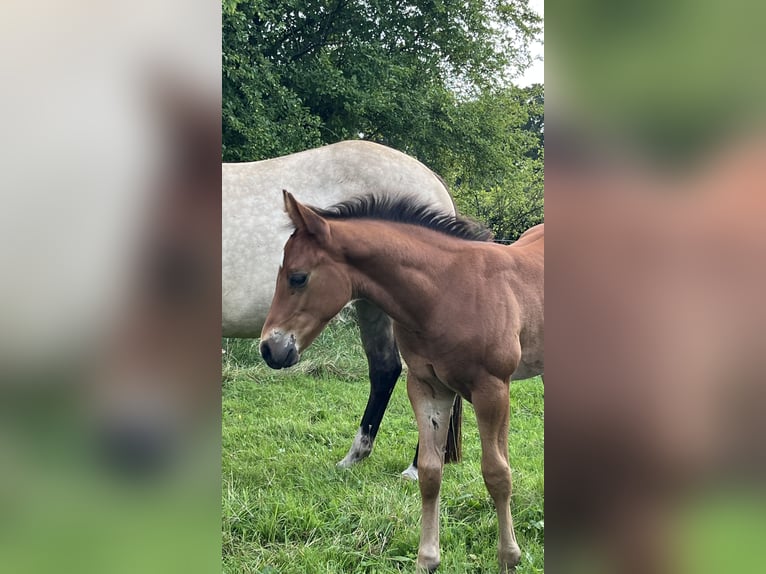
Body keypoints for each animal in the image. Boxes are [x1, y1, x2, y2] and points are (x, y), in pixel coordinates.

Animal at [223, 140, 463, 477]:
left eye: (298, 277)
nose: (271, 350)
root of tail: (432, 179)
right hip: (371, 306)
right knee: (385, 368)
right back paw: (356, 456)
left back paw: (416, 468)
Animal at [260, 191, 544, 573]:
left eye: (298, 277)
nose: (269, 348)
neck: (447, 293)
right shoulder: (428, 386)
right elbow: (430, 472)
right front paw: (427, 559)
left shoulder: (492, 388)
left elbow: (497, 473)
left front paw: (508, 556)